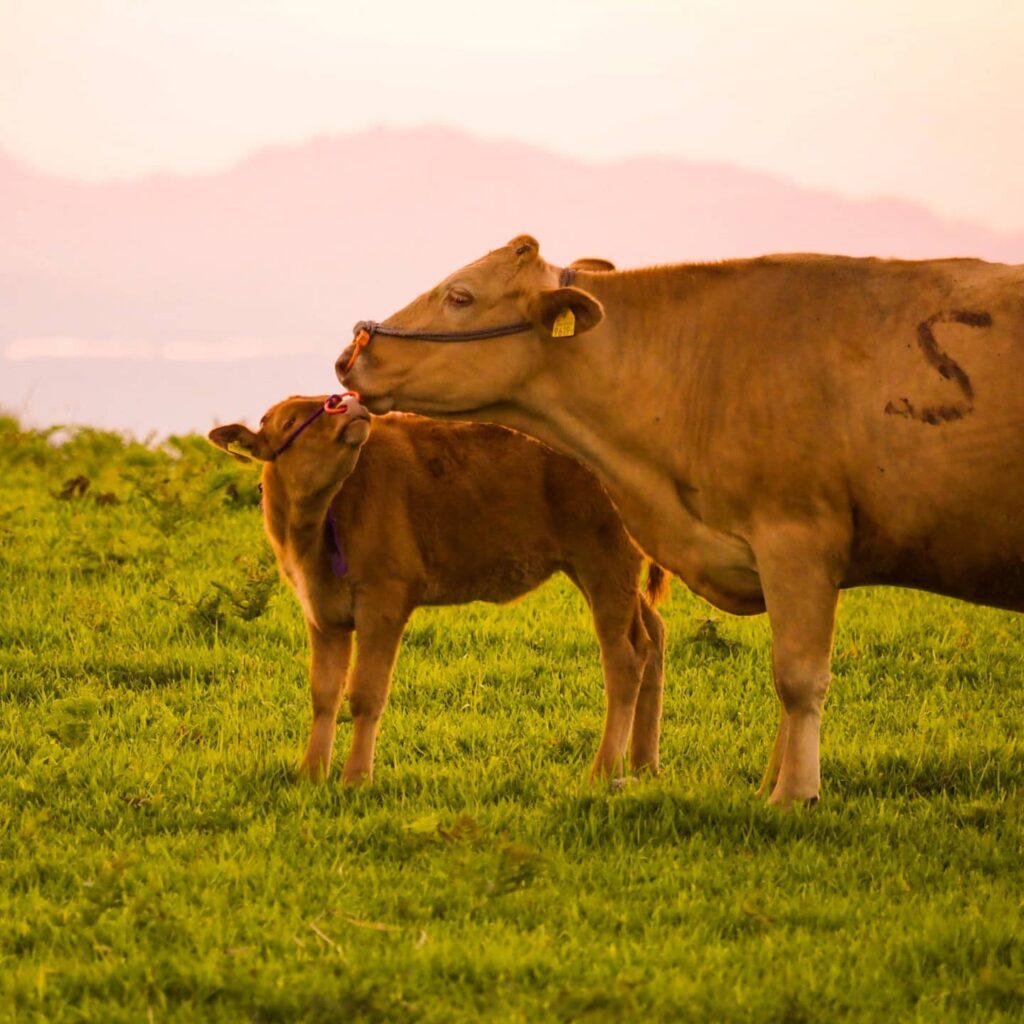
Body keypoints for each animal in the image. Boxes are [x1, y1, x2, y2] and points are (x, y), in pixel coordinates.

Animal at [211, 393, 667, 782]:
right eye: (290, 421)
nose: (346, 402)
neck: (313, 533)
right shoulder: (322, 613)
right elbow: (324, 693)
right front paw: (310, 773)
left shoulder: (385, 599)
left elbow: (365, 693)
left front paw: (356, 777)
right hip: (604, 572)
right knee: (653, 637)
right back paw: (644, 762)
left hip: (605, 561)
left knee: (625, 660)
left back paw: (604, 769)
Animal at [339, 234, 1024, 806]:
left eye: (460, 296)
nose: (350, 355)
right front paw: (771, 783)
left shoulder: (798, 537)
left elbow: (798, 678)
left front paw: (793, 796)